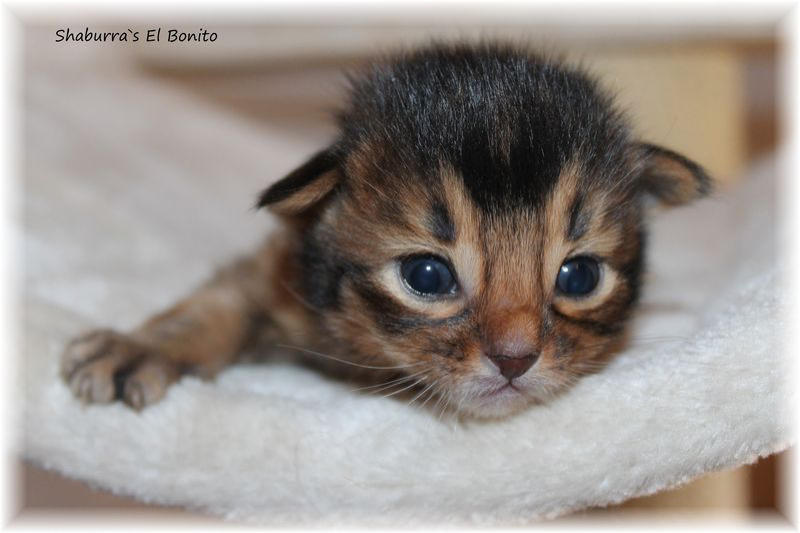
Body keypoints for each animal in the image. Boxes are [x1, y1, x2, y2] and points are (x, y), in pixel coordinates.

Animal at [61, 43, 710, 419]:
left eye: (579, 277)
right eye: (427, 276)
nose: (516, 360)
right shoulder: (276, 272)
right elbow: (212, 305)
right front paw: (137, 350)